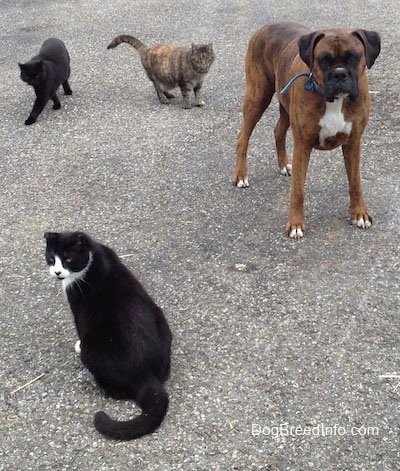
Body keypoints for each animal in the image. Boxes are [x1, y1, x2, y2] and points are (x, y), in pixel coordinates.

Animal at [44, 230, 172, 440]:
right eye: (51, 258)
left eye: (68, 259)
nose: (57, 272)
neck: (93, 256)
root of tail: (146, 375)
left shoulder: (77, 306)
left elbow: (79, 328)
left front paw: (78, 344)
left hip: (93, 353)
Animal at [234, 21, 382, 240]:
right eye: (324, 60)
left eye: (353, 58)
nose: (339, 74)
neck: (335, 101)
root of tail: (268, 25)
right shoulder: (303, 145)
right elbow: (298, 190)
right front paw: (295, 224)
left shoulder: (353, 142)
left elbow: (355, 182)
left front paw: (359, 214)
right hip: (257, 96)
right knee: (242, 137)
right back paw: (241, 175)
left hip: (284, 104)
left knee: (278, 131)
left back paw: (284, 165)